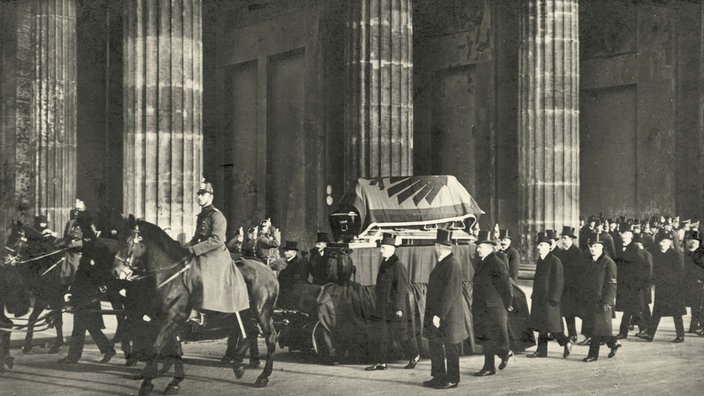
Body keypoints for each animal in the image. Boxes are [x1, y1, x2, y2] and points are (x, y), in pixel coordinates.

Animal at [111, 217, 280, 396]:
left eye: (127, 241)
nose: (115, 271)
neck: (169, 276)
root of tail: (267, 268)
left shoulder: (169, 319)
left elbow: (155, 347)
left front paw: (147, 384)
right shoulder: (172, 320)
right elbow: (175, 349)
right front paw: (175, 382)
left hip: (262, 311)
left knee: (270, 337)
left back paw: (263, 376)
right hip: (245, 313)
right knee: (251, 332)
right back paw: (238, 365)